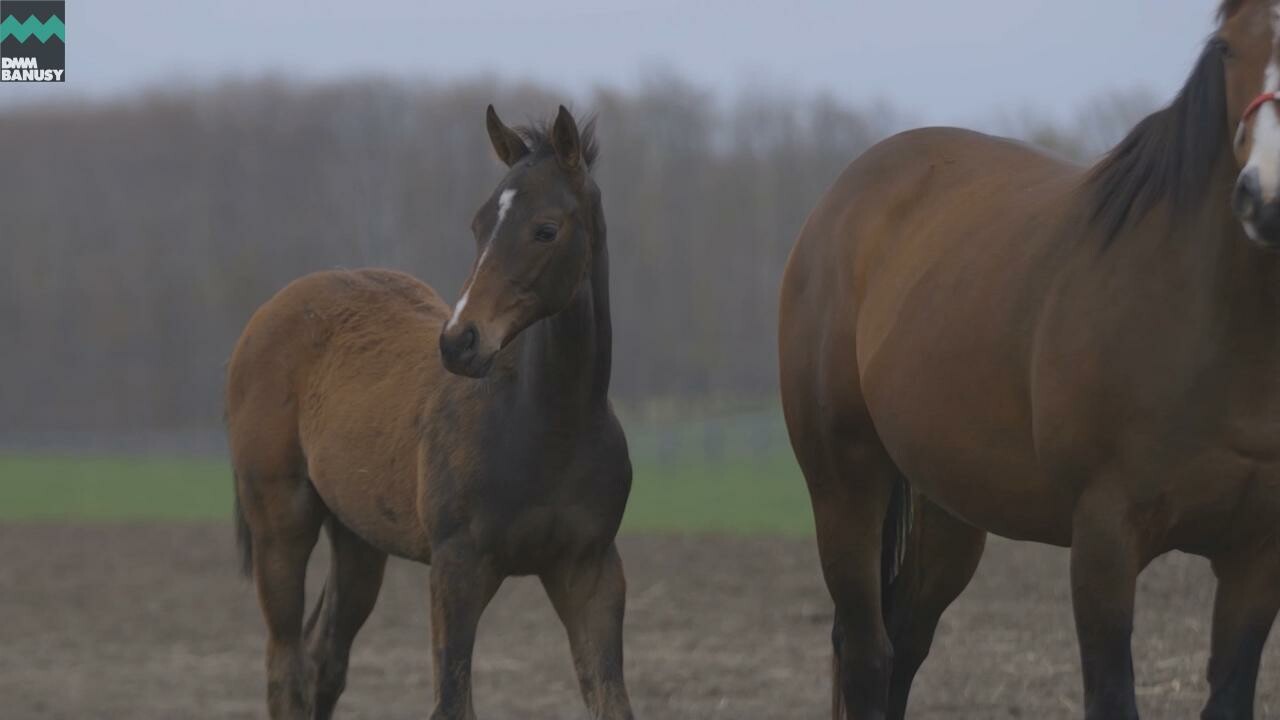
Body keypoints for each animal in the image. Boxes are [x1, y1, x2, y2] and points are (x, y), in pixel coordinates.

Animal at [225, 105, 634, 720]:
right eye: (479, 225)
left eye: (545, 229)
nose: (460, 342)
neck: (547, 425)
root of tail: (268, 314)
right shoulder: (457, 568)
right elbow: (452, 701)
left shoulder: (589, 570)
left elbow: (612, 700)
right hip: (281, 522)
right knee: (286, 667)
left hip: (359, 537)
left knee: (323, 658)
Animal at [779, 2, 1280, 718]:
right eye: (1228, 49)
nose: (1266, 197)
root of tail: (841, 198)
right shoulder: (1104, 538)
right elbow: (1111, 693)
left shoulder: (1256, 554)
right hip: (844, 484)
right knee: (868, 656)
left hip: (947, 511)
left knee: (904, 644)